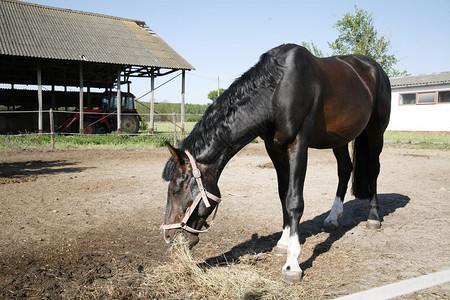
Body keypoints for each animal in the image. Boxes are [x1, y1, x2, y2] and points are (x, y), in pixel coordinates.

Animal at [161, 44, 390, 284]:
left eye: (176, 190)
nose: (168, 237)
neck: (276, 91)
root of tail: (374, 68)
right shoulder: (274, 149)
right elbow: (283, 194)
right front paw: (283, 241)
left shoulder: (299, 145)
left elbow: (294, 201)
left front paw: (292, 264)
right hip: (340, 138)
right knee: (345, 169)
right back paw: (332, 217)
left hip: (376, 131)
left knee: (373, 170)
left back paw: (373, 218)